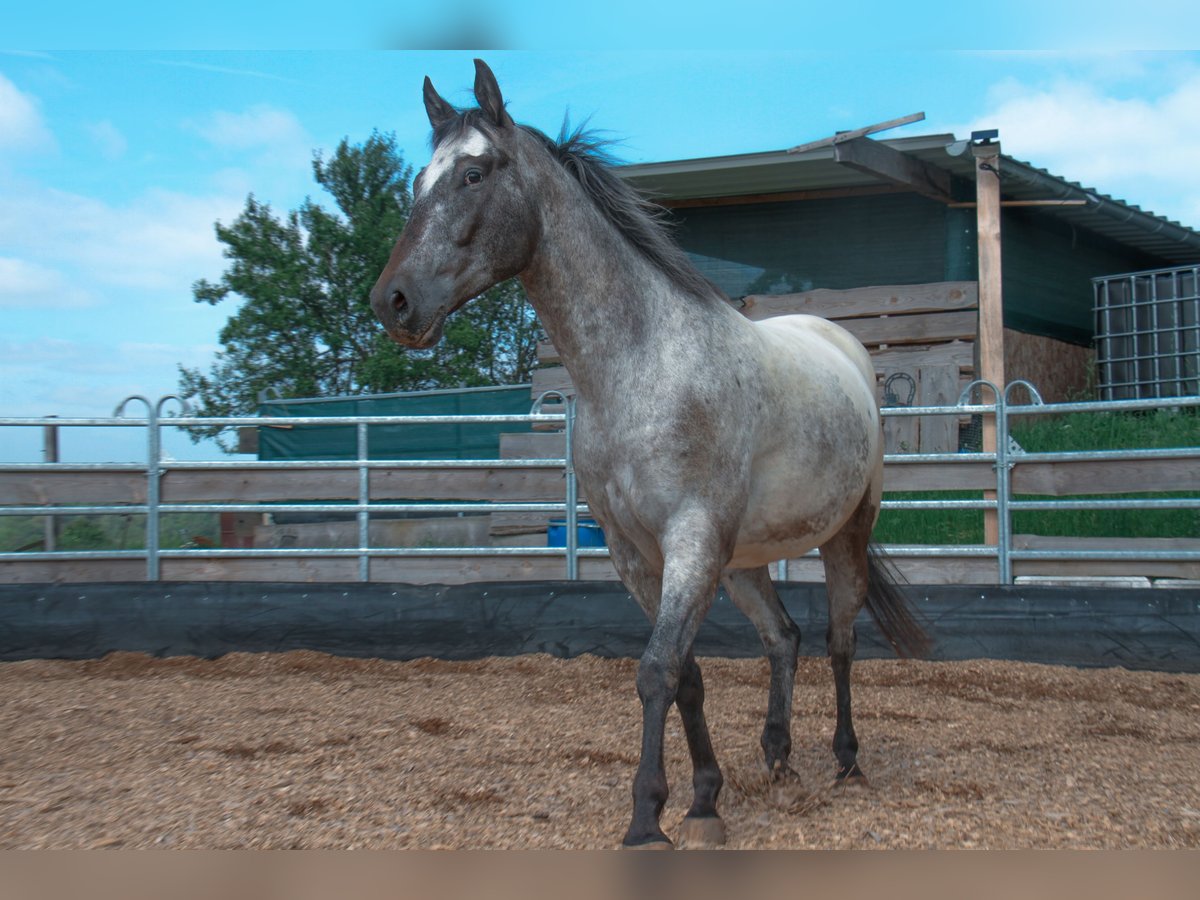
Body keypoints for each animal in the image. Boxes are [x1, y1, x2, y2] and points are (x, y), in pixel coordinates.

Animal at [369, 60, 931, 849]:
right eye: (419, 181)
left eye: (474, 174)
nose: (392, 302)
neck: (639, 369)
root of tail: (843, 345)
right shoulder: (636, 553)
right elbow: (686, 673)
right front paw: (702, 800)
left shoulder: (690, 540)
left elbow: (658, 671)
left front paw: (646, 820)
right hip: (744, 560)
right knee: (784, 638)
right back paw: (778, 758)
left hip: (846, 532)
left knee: (842, 639)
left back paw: (846, 761)